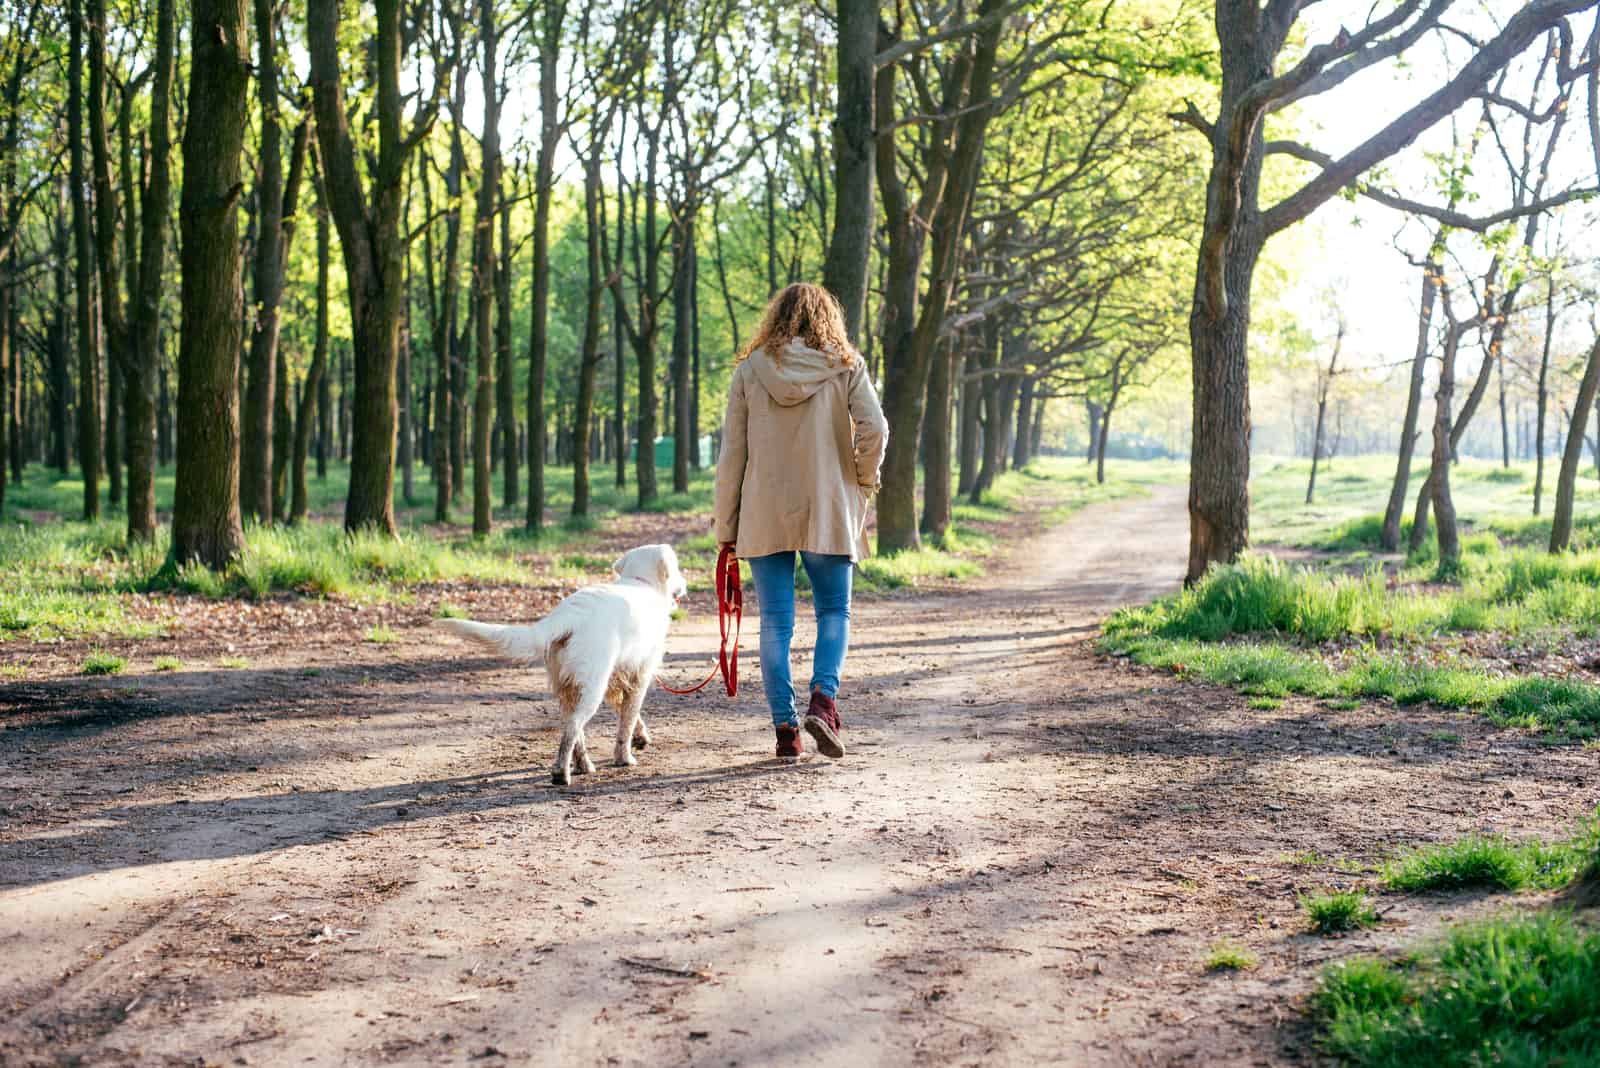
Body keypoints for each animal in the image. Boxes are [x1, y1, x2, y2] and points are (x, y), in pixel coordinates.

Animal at [438, 543, 688, 783]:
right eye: (676, 567)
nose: (685, 585)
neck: (641, 582)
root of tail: (567, 615)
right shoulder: (640, 676)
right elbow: (627, 720)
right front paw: (624, 758)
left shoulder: (617, 679)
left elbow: (628, 714)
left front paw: (640, 737)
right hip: (592, 686)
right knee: (573, 727)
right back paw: (561, 773)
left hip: (568, 685)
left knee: (571, 727)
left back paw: (582, 765)